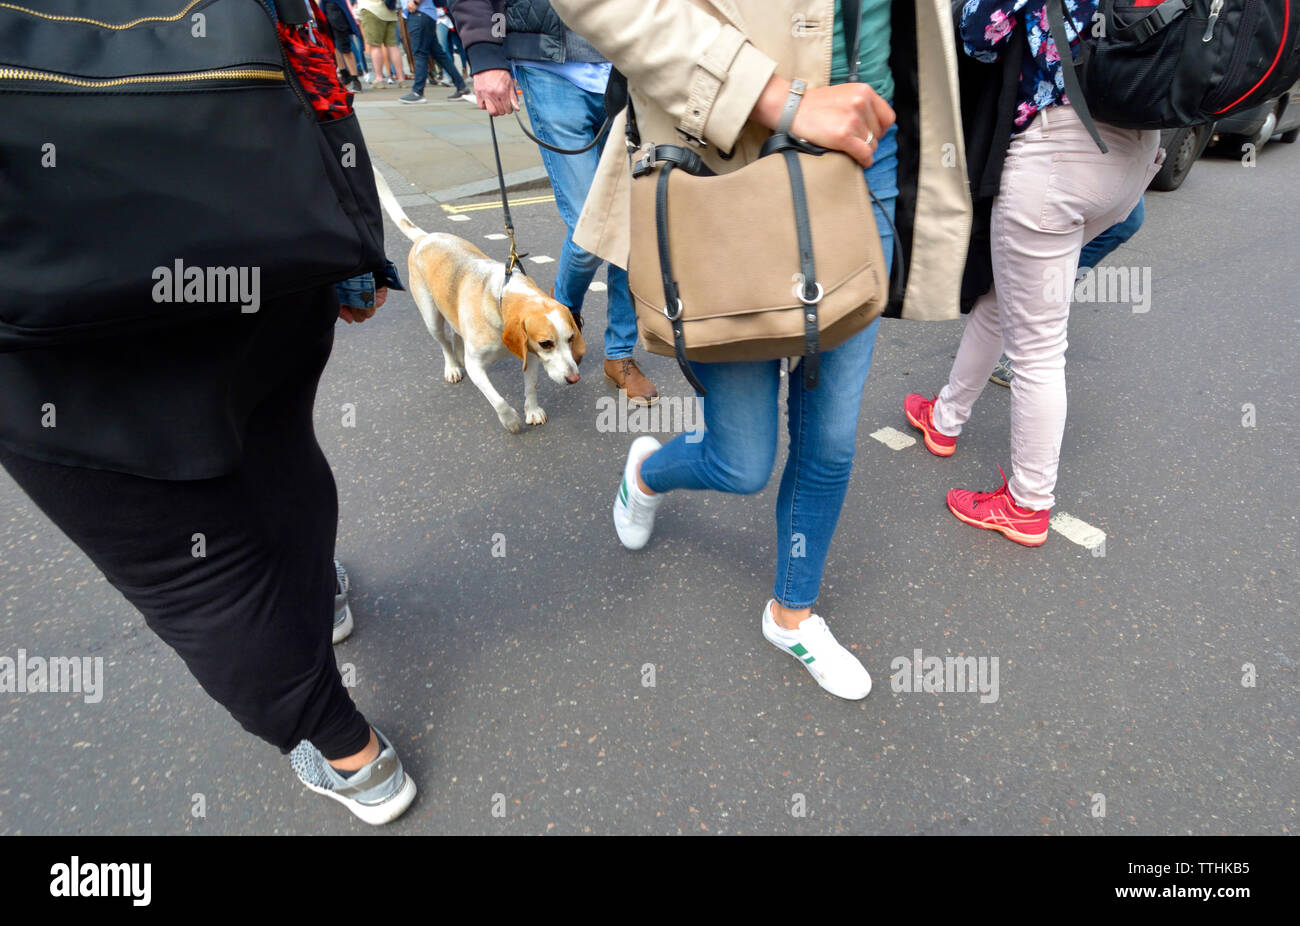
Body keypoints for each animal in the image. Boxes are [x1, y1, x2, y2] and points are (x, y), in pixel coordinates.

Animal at [371, 167, 585, 431]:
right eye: (547, 343)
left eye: (571, 338)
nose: (574, 378)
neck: (501, 298)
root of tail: (426, 238)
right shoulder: (477, 366)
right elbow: (497, 399)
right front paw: (510, 420)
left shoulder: (531, 356)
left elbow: (531, 388)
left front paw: (533, 411)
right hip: (431, 318)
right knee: (445, 342)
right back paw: (452, 366)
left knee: (455, 334)